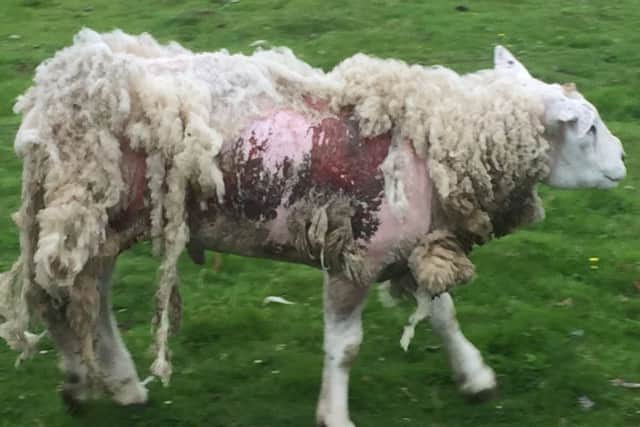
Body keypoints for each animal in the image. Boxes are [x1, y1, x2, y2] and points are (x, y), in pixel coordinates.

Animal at [0, 29, 626, 427]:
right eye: (589, 127)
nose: (623, 162)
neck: (437, 138)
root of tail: (54, 87)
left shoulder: (406, 249)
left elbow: (443, 316)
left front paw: (475, 377)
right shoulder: (355, 255)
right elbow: (345, 347)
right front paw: (335, 414)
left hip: (102, 223)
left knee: (86, 298)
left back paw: (116, 384)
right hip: (88, 213)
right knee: (58, 295)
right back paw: (84, 383)